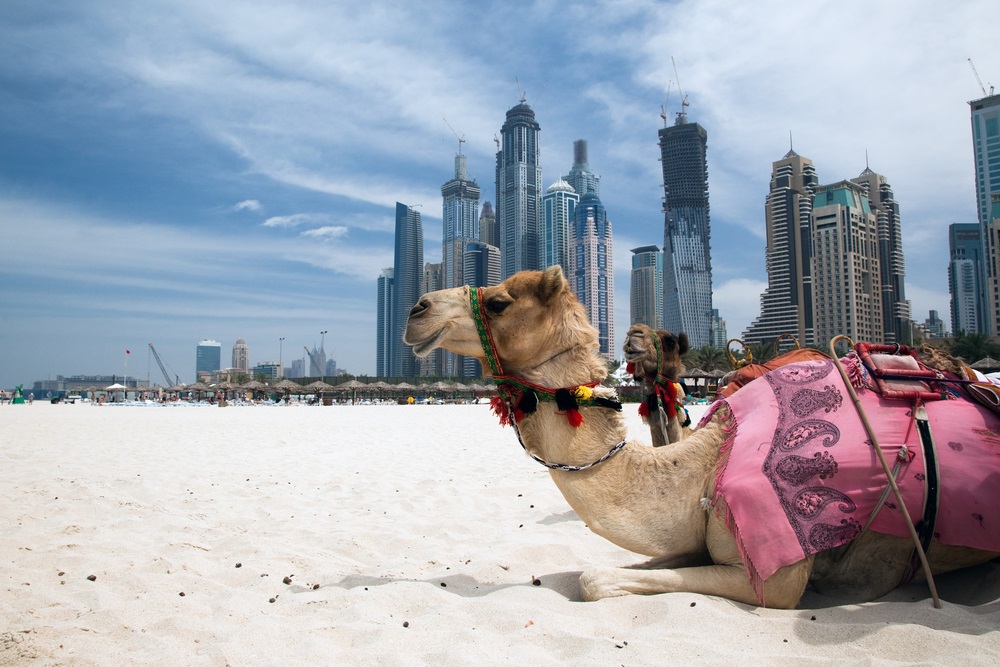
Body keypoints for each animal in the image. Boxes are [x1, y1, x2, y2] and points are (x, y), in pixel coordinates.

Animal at [404, 264, 1000, 604]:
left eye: (500, 301)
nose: (416, 307)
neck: (705, 464)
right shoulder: (691, 537)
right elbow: (605, 573)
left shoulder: (778, 576)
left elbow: (595, 580)